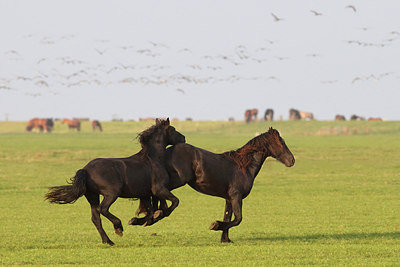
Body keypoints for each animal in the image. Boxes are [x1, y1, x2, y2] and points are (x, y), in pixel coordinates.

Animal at [45, 119, 186, 247]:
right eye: (173, 129)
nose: (184, 138)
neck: (152, 159)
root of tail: (86, 169)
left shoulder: (145, 194)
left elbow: (150, 211)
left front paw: (137, 220)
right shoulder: (159, 189)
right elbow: (174, 202)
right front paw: (155, 216)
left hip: (92, 196)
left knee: (96, 218)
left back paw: (108, 241)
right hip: (111, 194)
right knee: (103, 209)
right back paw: (118, 227)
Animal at [130, 127, 294, 243]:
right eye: (281, 142)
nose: (292, 160)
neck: (243, 166)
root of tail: (164, 151)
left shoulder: (229, 198)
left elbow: (228, 217)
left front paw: (225, 239)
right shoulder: (236, 196)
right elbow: (237, 219)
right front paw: (215, 225)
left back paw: (146, 219)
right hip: (175, 182)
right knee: (157, 195)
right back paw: (153, 217)